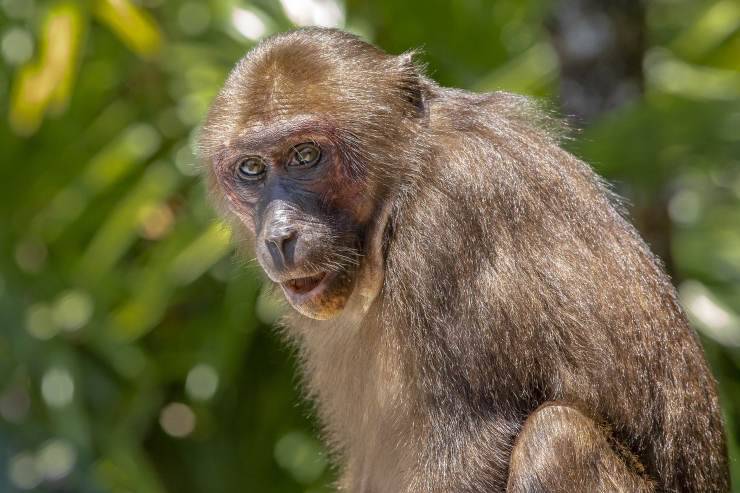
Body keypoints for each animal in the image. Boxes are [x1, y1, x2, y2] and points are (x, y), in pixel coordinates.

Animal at [198, 28, 729, 492]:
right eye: (251, 169)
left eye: (306, 155)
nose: (279, 234)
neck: (396, 196)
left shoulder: (450, 215)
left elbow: (469, 449)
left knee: (555, 440)